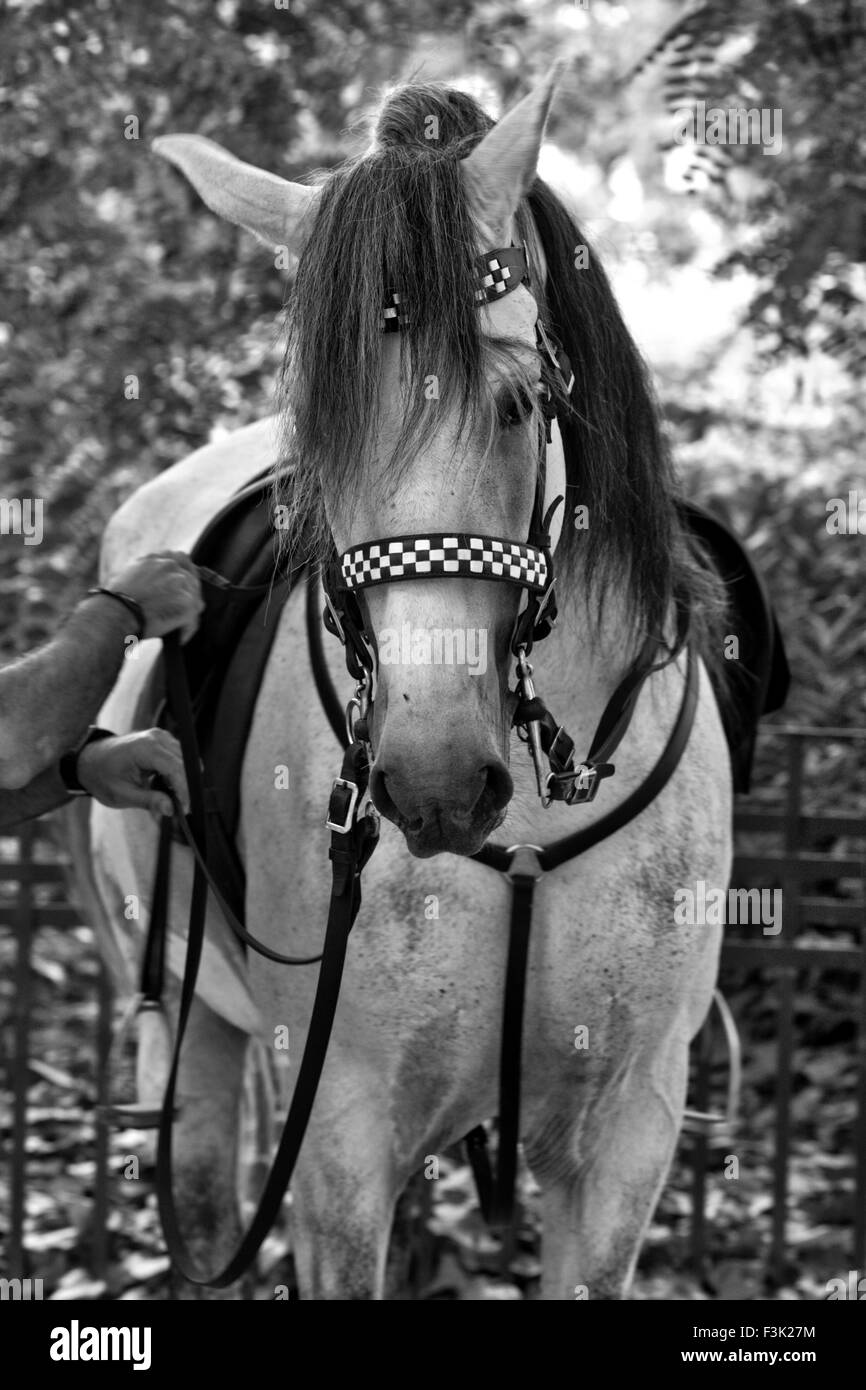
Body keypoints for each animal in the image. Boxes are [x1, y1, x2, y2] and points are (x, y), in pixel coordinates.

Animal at [72, 69, 733, 1300]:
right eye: (315, 446)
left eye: (517, 406)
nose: (432, 781)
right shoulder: (338, 1136)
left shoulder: (627, 1135)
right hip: (185, 1036)